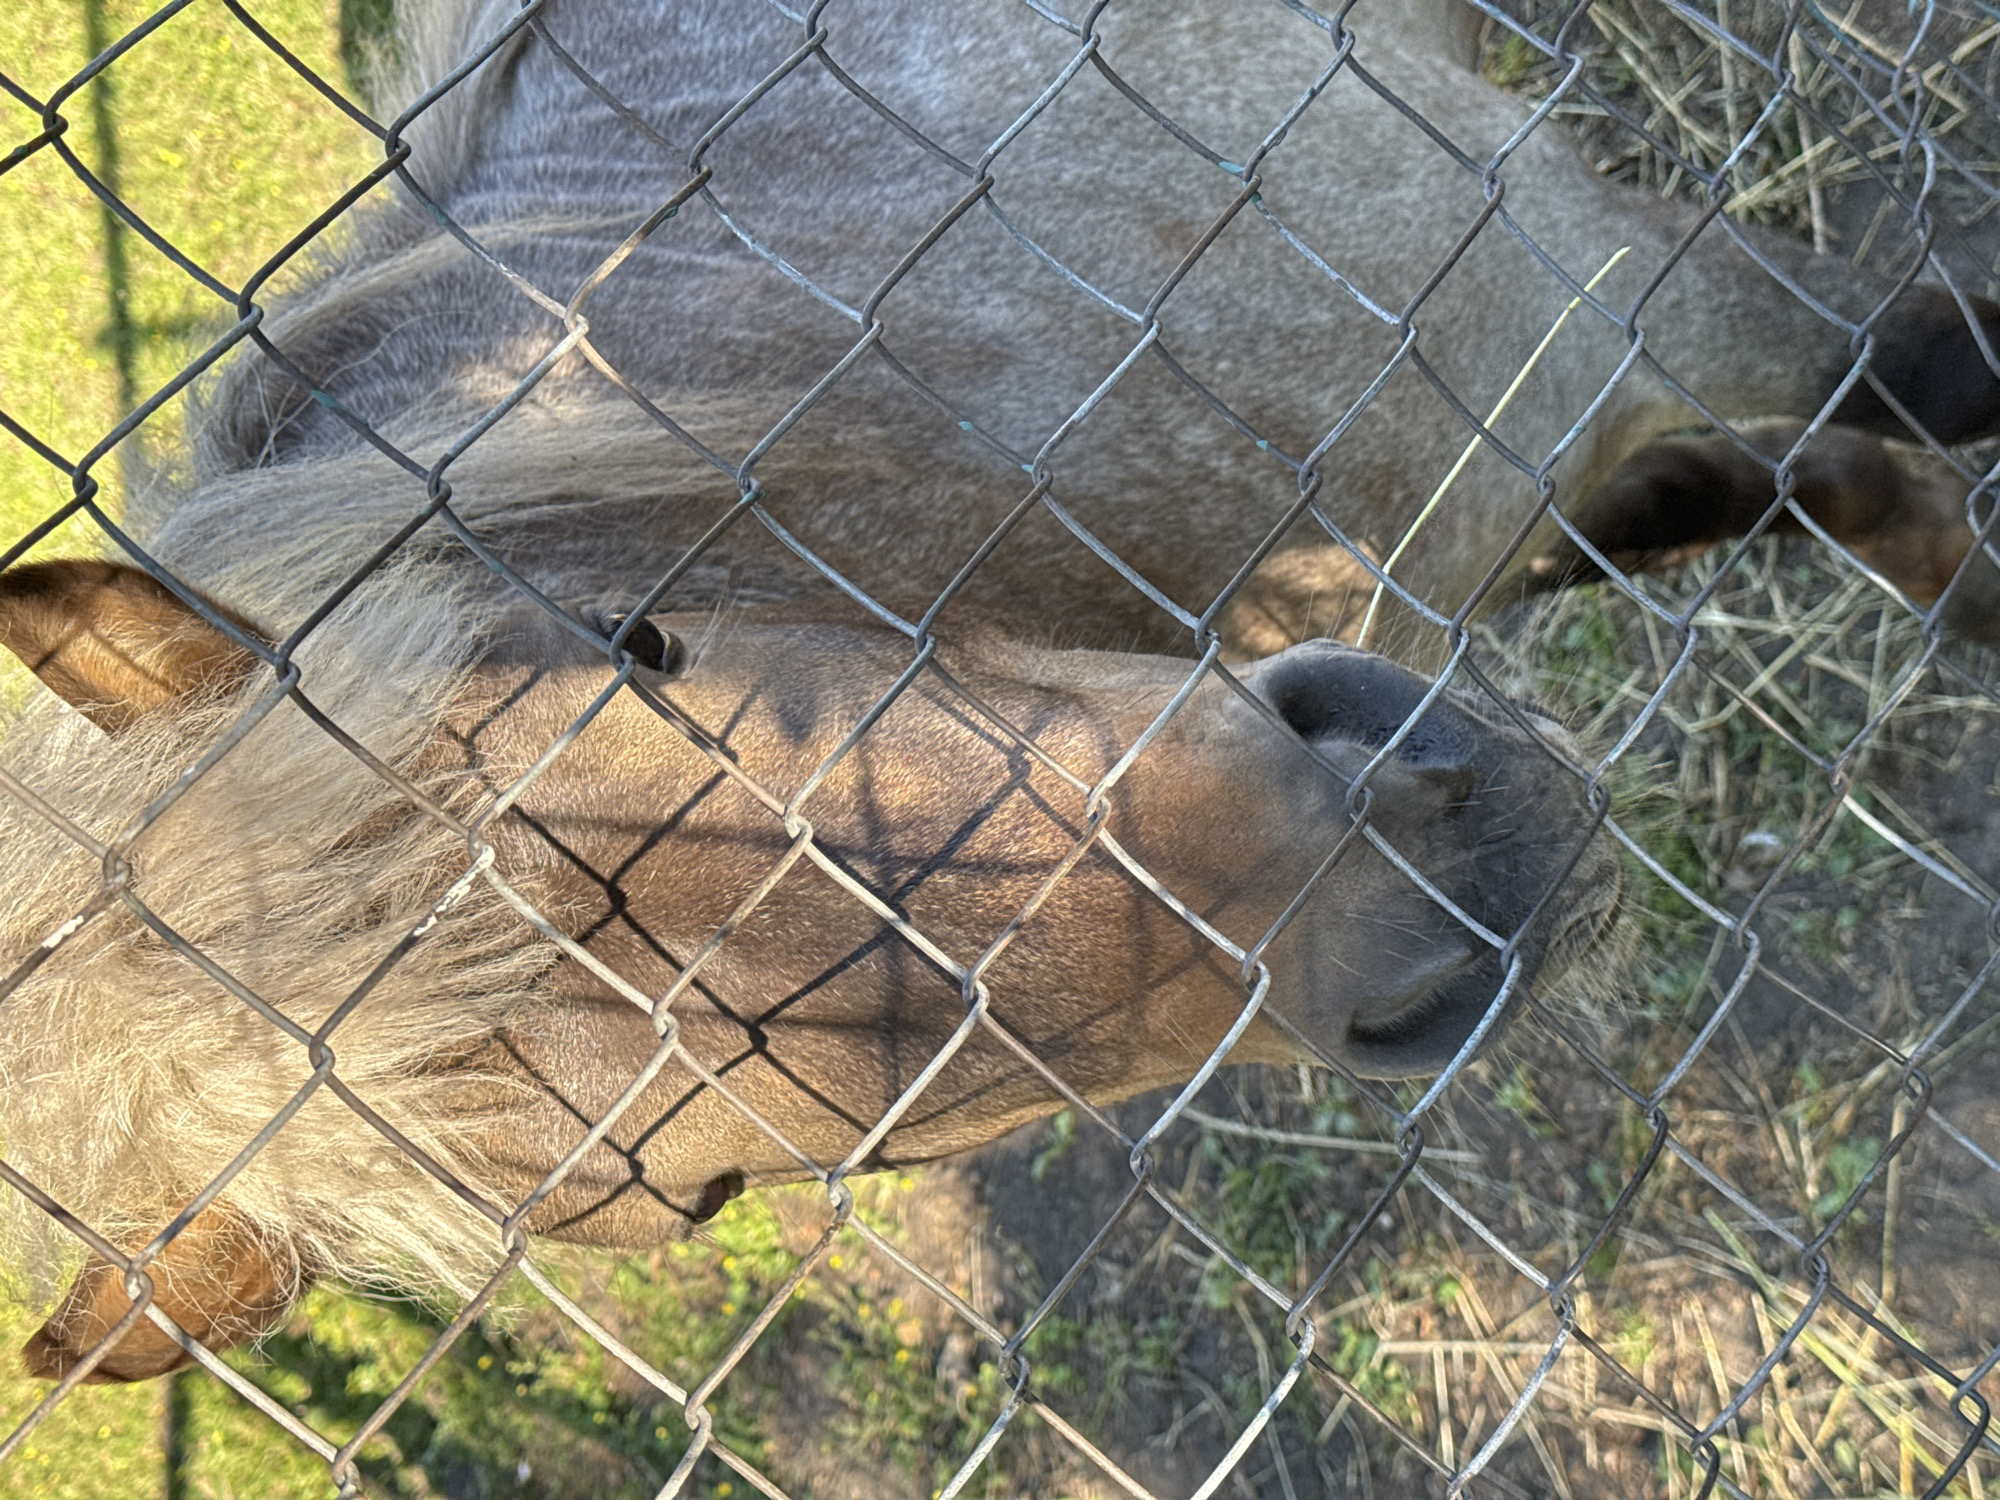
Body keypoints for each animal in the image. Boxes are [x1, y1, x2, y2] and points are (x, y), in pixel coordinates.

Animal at [1, 0, 1993, 1386]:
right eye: (678, 1199)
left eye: (632, 650)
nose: (1443, 874)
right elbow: (1784, 482)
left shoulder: (1594, 266)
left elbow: (1919, 369)